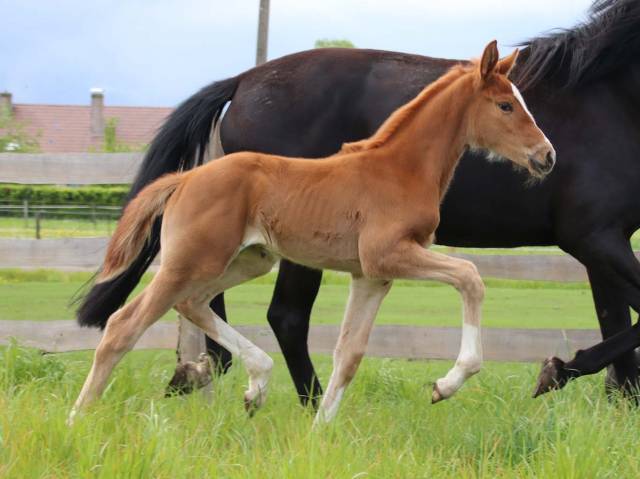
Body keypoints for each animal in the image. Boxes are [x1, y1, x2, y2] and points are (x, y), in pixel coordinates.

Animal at [76, 0, 640, 404]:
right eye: (506, 104)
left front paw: (612, 394)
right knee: (277, 315)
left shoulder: (600, 242)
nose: (547, 156)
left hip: (250, 250)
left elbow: (616, 317)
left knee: (206, 303)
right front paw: (559, 372)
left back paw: (210, 376)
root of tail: (242, 81)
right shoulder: (593, 236)